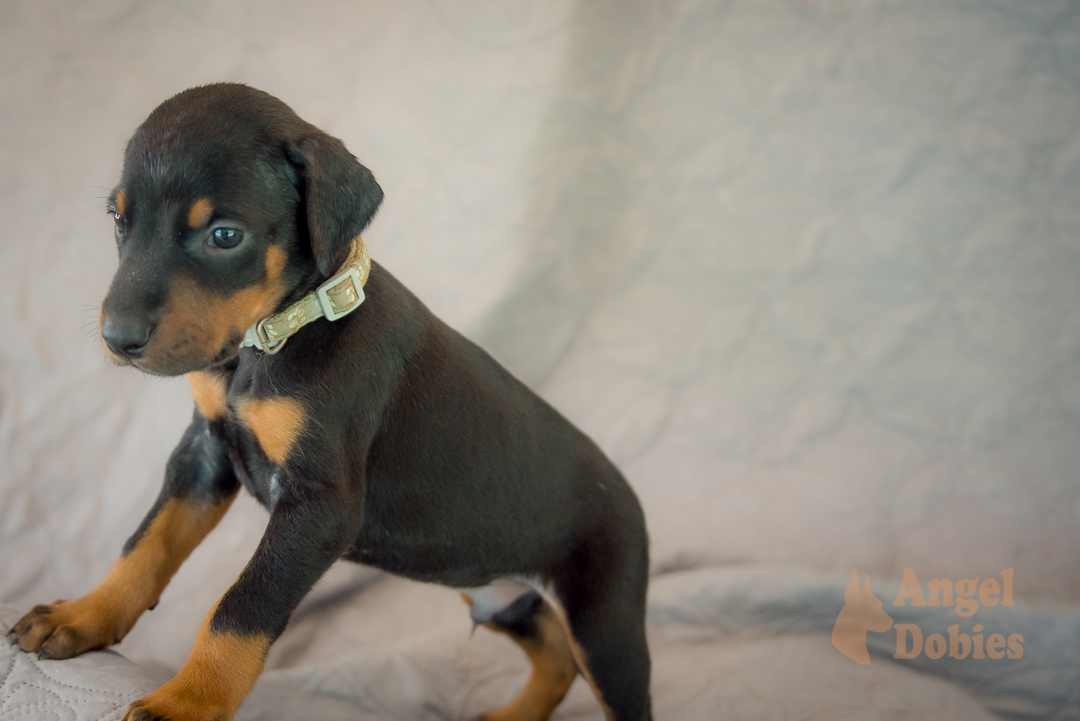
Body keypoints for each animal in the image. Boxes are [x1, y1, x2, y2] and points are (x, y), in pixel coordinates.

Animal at [8, 83, 652, 721]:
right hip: (498, 593)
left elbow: (241, 607)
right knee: (555, 656)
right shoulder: (203, 456)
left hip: (604, 623)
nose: (117, 339)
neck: (279, 333)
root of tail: (631, 500)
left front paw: (186, 702)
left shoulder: (319, 509)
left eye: (224, 235)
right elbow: (144, 544)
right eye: (119, 220)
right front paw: (84, 615)